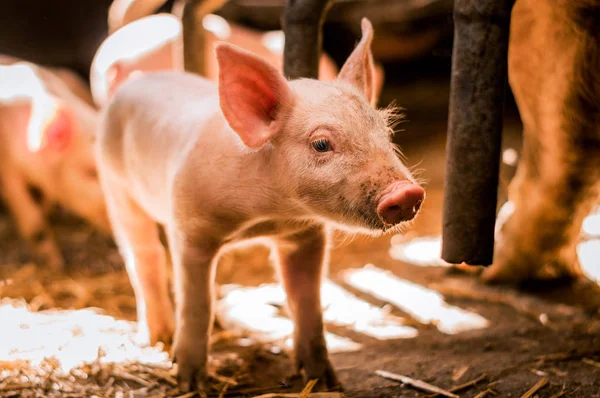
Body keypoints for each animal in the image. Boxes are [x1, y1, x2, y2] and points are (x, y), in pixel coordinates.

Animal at [96, 19, 424, 392]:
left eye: (386, 133)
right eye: (321, 143)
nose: (406, 193)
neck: (267, 214)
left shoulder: (306, 236)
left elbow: (306, 300)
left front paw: (326, 382)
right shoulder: (190, 228)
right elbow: (196, 303)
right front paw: (191, 384)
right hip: (115, 184)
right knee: (143, 256)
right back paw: (158, 337)